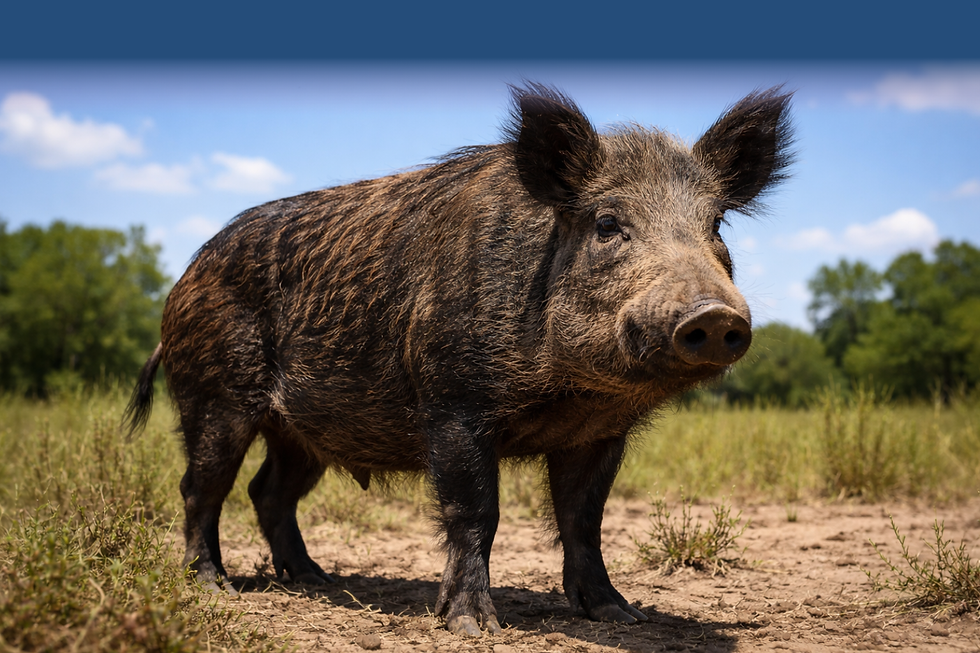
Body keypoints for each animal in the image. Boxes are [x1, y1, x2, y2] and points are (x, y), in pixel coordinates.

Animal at [125, 82, 793, 637]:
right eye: (607, 223)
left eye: (716, 224)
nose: (715, 315)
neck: (571, 393)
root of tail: (181, 283)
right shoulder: (452, 401)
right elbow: (475, 511)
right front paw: (474, 627)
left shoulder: (600, 433)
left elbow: (584, 520)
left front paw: (619, 615)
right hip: (215, 394)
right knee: (200, 486)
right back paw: (215, 588)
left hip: (302, 431)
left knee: (269, 492)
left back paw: (317, 579)